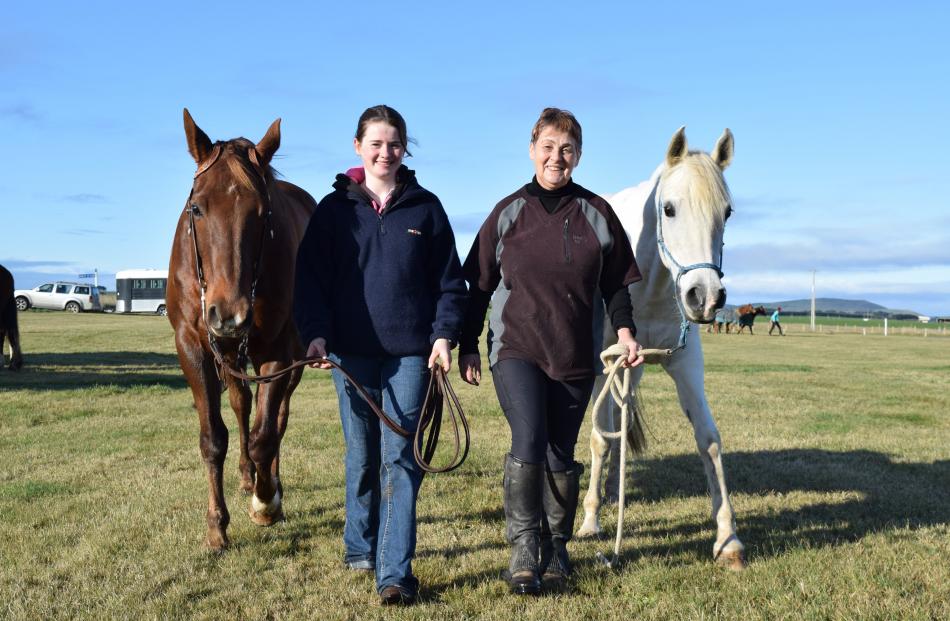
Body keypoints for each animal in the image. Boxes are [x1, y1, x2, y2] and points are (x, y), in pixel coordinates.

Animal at [169, 109, 318, 548]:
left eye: (262, 212)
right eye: (196, 208)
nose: (228, 315)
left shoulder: (277, 351)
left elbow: (265, 436)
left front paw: (266, 502)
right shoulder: (194, 346)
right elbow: (213, 438)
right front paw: (217, 525)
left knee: (277, 418)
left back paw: (268, 483)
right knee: (240, 403)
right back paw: (246, 475)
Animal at [576, 124, 748, 568]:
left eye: (727, 212)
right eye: (668, 209)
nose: (705, 297)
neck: (650, 286)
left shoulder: (685, 363)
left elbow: (709, 440)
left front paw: (728, 539)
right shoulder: (603, 366)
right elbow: (600, 438)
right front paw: (590, 521)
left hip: (633, 369)